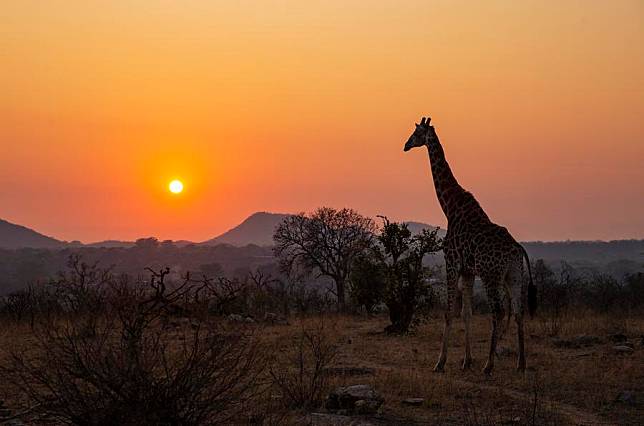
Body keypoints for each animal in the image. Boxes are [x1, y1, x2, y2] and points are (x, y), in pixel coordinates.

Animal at [406, 116, 536, 372]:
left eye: (416, 133)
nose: (405, 145)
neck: (449, 206)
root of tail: (517, 249)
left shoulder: (452, 263)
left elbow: (449, 312)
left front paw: (440, 362)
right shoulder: (468, 271)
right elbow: (467, 314)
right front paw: (466, 361)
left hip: (491, 275)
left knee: (499, 311)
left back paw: (489, 364)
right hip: (513, 275)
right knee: (518, 312)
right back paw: (520, 363)